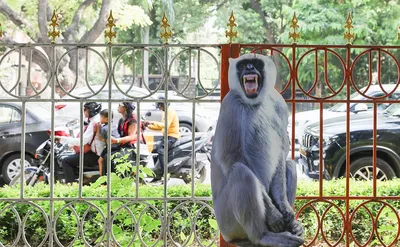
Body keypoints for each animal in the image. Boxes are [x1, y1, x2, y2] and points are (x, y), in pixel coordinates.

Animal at [211, 53, 304, 246]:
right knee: (241, 172)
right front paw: (274, 214)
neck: (254, 102)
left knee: (290, 164)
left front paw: (284, 208)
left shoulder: (279, 103)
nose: (249, 68)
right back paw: (263, 236)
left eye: (255, 63)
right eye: (243, 65)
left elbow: (281, 152)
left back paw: (292, 226)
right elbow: (230, 158)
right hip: (227, 221)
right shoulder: (230, 105)